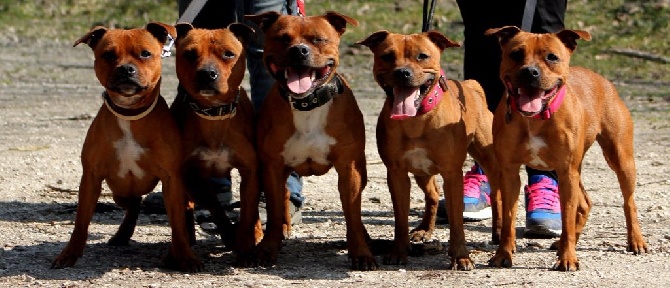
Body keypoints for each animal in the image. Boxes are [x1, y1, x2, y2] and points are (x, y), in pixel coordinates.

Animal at [52, 23, 202, 272]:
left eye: (145, 53)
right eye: (108, 54)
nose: (125, 69)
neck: (130, 114)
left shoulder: (172, 180)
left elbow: (177, 225)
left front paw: (185, 257)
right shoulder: (91, 178)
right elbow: (81, 222)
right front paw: (69, 254)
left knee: (185, 210)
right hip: (119, 192)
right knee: (134, 205)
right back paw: (122, 235)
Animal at [171, 23, 262, 254]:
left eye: (229, 54)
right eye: (189, 54)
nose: (207, 73)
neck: (213, 114)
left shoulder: (251, 170)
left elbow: (250, 207)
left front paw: (249, 237)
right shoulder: (191, 174)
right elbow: (214, 205)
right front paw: (230, 235)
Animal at [244, 11, 376, 270]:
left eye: (318, 39)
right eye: (283, 38)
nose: (299, 50)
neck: (306, 104)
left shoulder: (350, 169)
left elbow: (353, 214)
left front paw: (361, 252)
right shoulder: (272, 166)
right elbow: (274, 210)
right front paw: (268, 248)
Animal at [360, 30, 502, 268]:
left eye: (422, 56)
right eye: (387, 56)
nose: (402, 72)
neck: (417, 118)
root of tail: (471, 86)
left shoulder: (452, 174)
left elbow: (457, 221)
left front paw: (461, 256)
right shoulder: (397, 174)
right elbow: (400, 218)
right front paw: (398, 251)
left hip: (490, 160)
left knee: (498, 194)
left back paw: (499, 232)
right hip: (421, 172)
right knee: (433, 194)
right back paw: (424, 229)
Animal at [488, 25, 652, 272]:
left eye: (552, 57)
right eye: (516, 54)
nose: (530, 72)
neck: (535, 118)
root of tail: (602, 79)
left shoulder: (567, 172)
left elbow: (566, 216)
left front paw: (568, 258)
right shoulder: (509, 173)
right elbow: (508, 218)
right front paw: (503, 255)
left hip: (620, 160)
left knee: (628, 202)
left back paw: (636, 241)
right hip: (571, 170)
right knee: (585, 203)